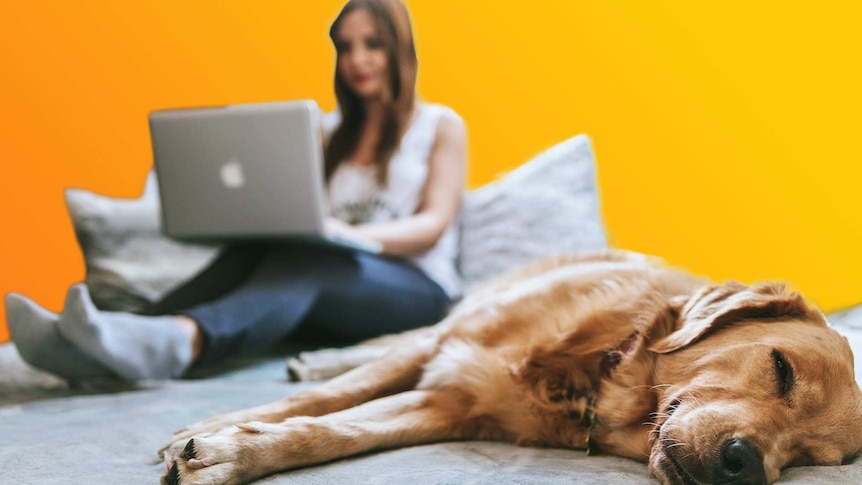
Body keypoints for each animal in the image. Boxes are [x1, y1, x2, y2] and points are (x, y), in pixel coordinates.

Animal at [162, 250, 862, 484]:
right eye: (780, 369)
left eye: (809, 458)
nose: (744, 466)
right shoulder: (448, 346)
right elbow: (325, 402)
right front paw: (214, 429)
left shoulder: (449, 404)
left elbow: (335, 430)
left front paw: (232, 451)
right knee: (386, 342)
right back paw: (315, 359)